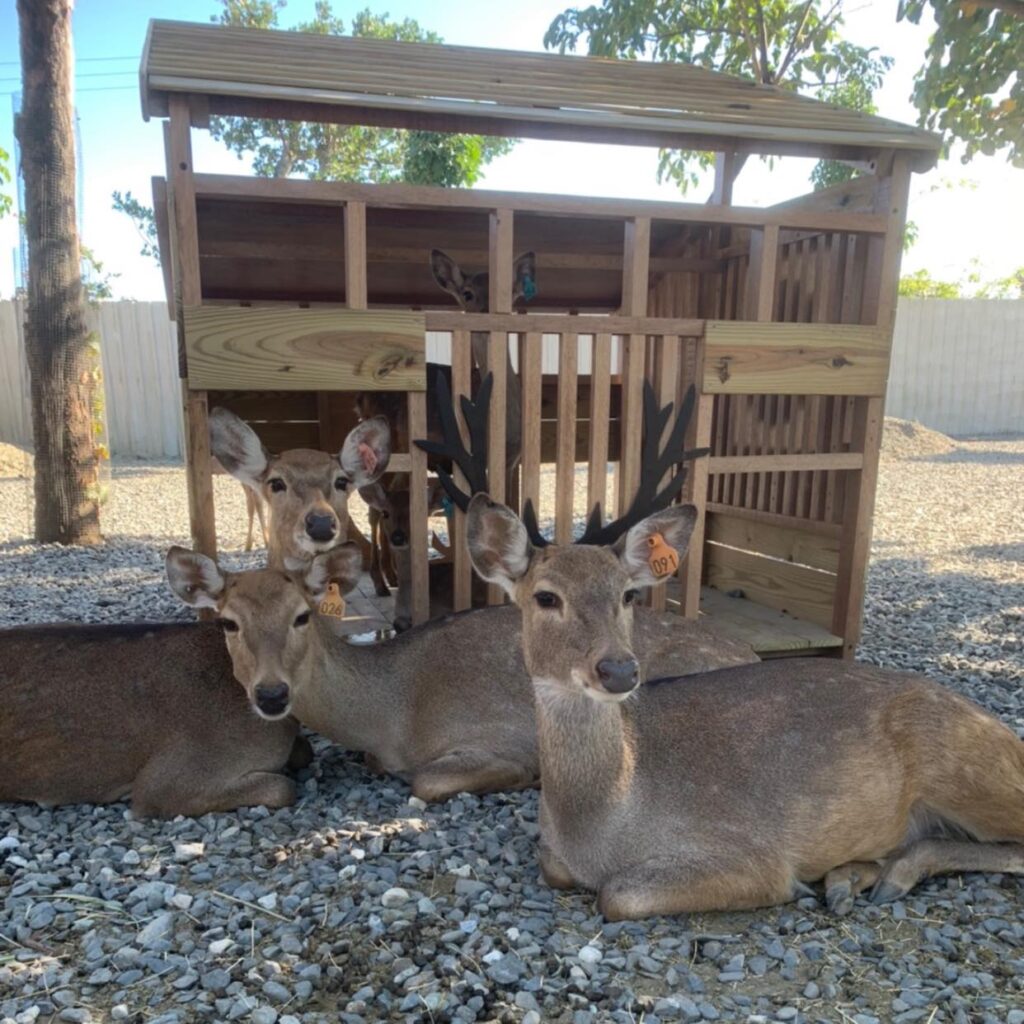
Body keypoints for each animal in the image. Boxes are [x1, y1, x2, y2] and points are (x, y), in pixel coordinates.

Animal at [464, 387, 1024, 917]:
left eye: (628, 594)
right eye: (545, 597)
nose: (619, 670)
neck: (599, 822)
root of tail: (1011, 740)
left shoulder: (749, 854)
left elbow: (619, 894)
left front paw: (802, 885)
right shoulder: (555, 860)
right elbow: (558, 872)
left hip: (968, 769)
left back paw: (886, 876)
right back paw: (849, 879)